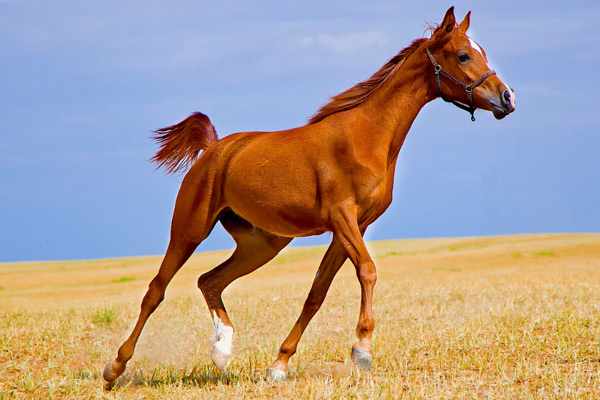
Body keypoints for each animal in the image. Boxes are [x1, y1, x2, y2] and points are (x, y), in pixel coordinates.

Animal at [102, 6, 516, 388]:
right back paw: (115, 368)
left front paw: (278, 366)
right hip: (190, 229)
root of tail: (214, 148)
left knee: (209, 281)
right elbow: (368, 271)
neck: (367, 135)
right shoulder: (342, 217)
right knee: (156, 290)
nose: (506, 98)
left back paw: (222, 350)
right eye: (463, 55)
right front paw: (362, 350)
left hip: (261, 244)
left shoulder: (354, 226)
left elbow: (317, 293)